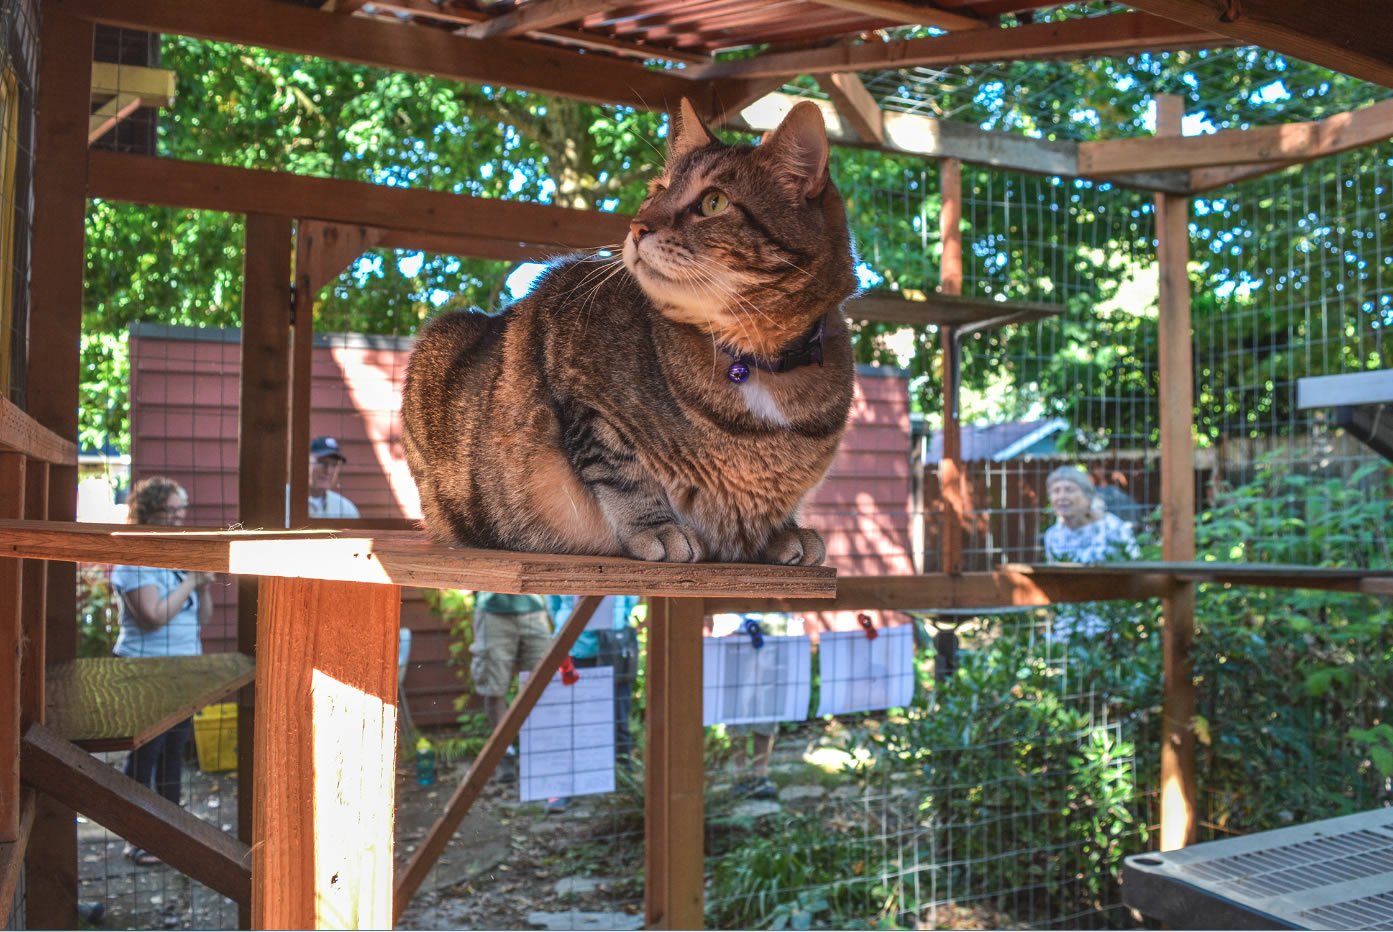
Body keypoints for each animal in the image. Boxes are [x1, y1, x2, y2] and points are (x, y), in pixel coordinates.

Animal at [403, 98, 852, 562]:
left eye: (714, 202)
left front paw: (783, 530)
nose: (637, 226)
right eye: (658, 189)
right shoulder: (577, 385)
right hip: (442, 340)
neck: (756, 355)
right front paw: (658, 527)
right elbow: (622, 471)